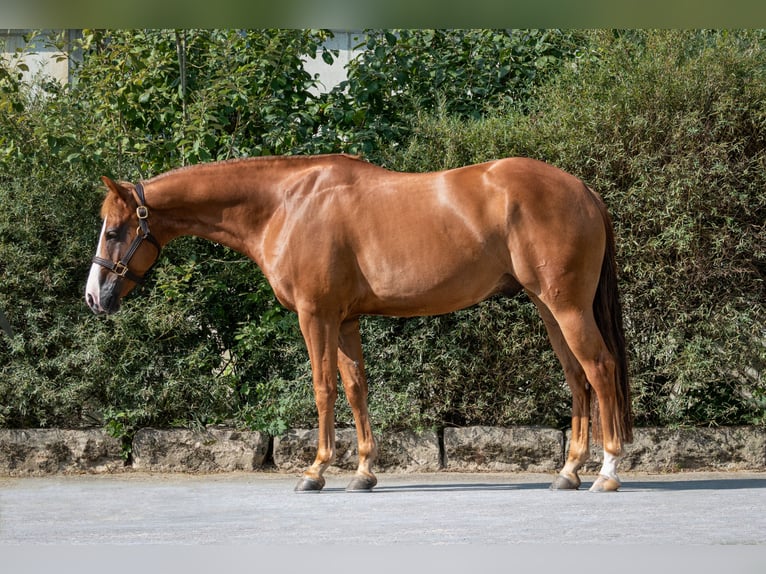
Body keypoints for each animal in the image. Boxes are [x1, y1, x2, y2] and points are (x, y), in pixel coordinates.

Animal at [85, 154, 632, 492]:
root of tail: (583, 189)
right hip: (547, 306)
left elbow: (322, 387)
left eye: (113, 231)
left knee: (600, 370)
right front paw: (364, 471)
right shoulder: (346, 321)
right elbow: (355, 388)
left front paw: (316, 470)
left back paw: (607, 471)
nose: (94, 297)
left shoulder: (316, 315)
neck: (286, 204)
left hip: (566, 307)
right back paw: (568, 471)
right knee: (577, 378)